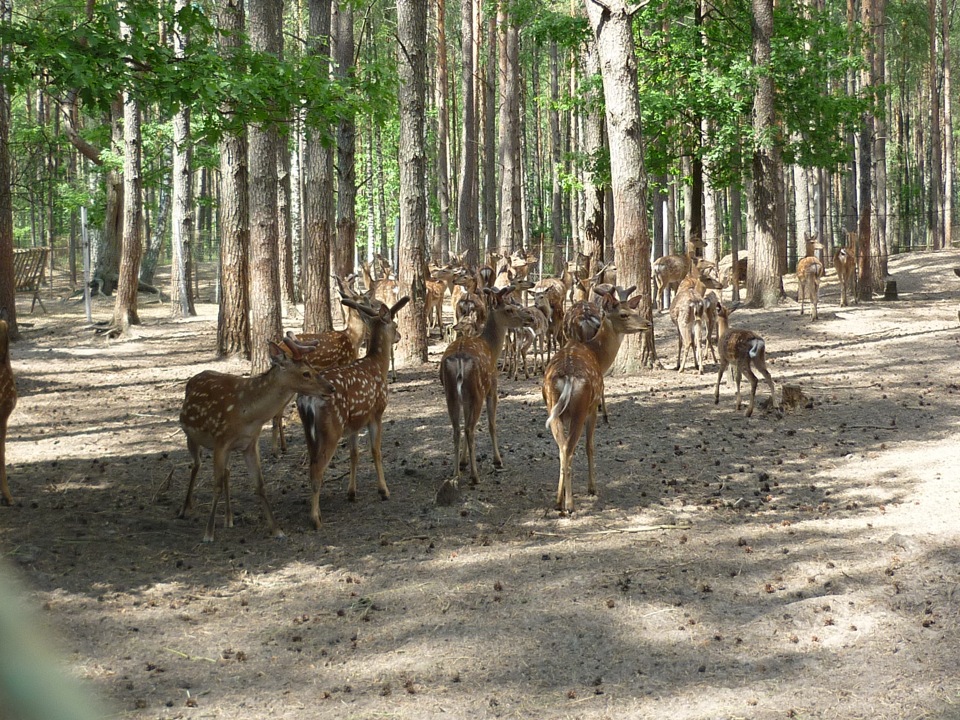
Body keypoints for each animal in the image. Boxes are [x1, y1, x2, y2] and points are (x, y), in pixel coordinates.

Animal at [178, 336, 340, 540]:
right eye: (306, 373)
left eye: (314, 368)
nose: (331, 388)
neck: (248, 414)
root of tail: (193, 379)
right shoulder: (220, 440)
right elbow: (216, 486)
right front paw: (208, 533)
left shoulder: (249, 443)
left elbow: (260, 485)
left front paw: (277, 529)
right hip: (190, 435)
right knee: (196, 465)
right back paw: (184, 509)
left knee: (227, 471)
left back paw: (229, 519)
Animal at [296, 296, 408, 532]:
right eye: (394, 325)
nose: (399, 336)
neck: (378, 366)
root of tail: (307, 399)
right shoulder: (376, 413)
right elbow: (376, 451)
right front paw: (383, 491)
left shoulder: (354, 423)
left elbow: (354, 454)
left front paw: (351, 493)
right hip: (331, 428)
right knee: (317, 468)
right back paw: (315, 519)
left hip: (310, 431)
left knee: (311, 464)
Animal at [436, 284, 532, 504]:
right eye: (509, 309)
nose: (529, 317)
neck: (492, 348)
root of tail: (459, 360)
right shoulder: (492, 388)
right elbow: (491, 424)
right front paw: (498, 460)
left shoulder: (464, 398)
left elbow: (464, 426)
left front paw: (463, 463)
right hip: (477, 390)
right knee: (471, 429)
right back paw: (475, 476)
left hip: (451, 394)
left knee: (457, 429)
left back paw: (456, 474)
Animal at [544, 286, 648, 512]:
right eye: (623, 314)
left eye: (633, 309)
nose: (647, 323)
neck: (598, 355)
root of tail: (567, 378)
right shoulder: (591, 408)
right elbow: (590, 446)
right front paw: (592, 488)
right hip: (581, 407)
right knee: (569, 448)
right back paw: (570, 505)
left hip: (552, 408)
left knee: (561, 448)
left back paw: (558, 501)